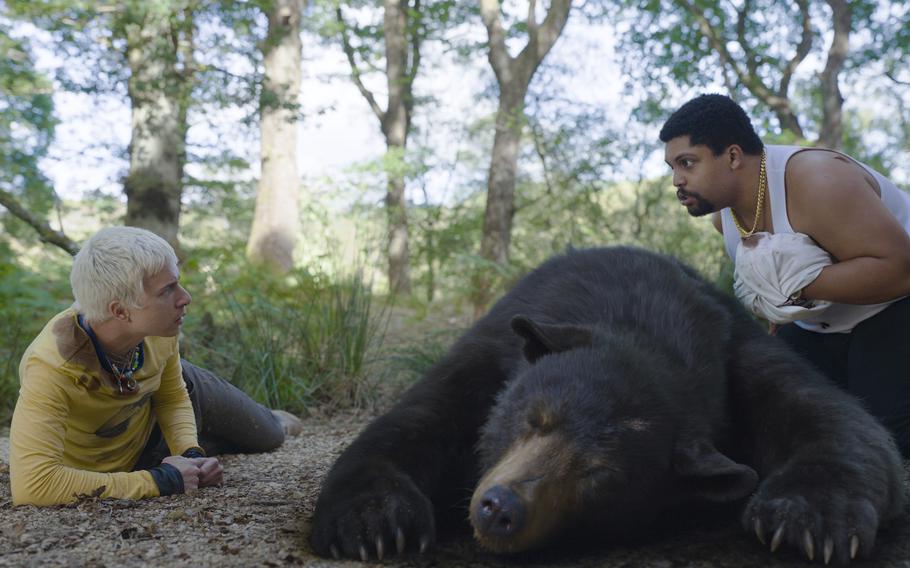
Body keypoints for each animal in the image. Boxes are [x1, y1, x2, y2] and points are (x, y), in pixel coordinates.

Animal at [312, 247, 904, 564]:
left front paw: (808, 518)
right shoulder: (494, 348)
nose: (501, 508)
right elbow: (415, 422)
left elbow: (839, 421)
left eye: (599, 474)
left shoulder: (739, 350)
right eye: (534, 420)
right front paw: (376, 521)